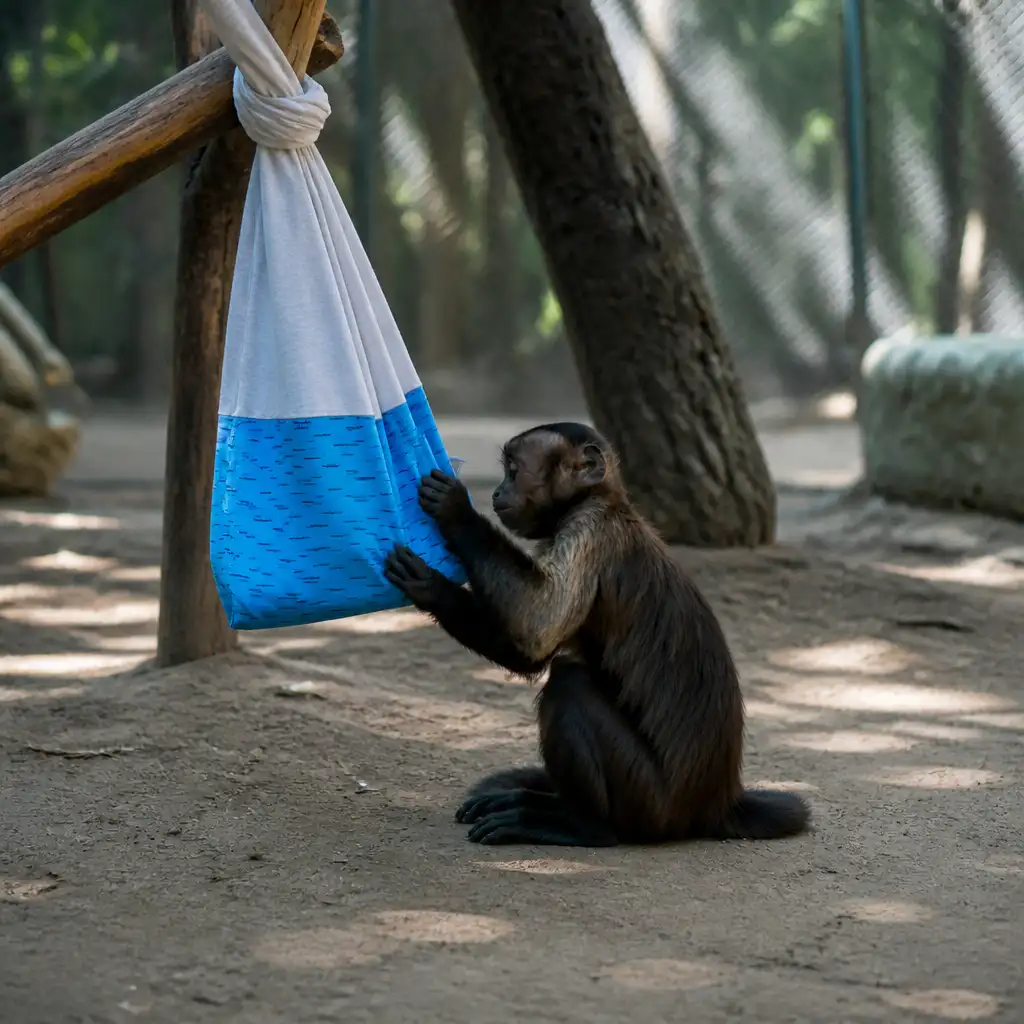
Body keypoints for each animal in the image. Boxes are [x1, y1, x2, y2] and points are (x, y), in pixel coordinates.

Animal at [383, 422, 810, 847]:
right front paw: (429, 588)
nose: (496, 492)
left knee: (569, 683)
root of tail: (715, 804)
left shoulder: (589, 530)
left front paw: (455, 514)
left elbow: (536, 625)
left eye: (514, 471)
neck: (603, 501)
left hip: (650, 801)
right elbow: (529, 652)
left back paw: (581, 826)